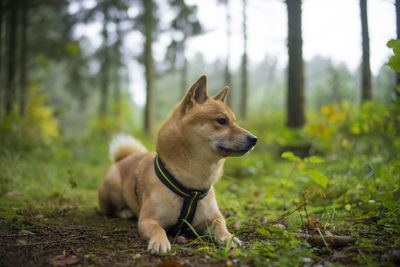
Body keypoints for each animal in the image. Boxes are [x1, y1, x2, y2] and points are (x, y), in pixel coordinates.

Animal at [98, 75, 258, 255]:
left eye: (235, 122)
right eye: (222, 120)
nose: (254, 139)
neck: (193, 183)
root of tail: (122, 159)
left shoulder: (213, 216)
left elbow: (220, 224)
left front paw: (228, 237)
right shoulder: (147, 220)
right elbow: (158, 229)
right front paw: (159, 241)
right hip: (113, 186)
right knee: (109, 210)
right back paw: (125, 211)